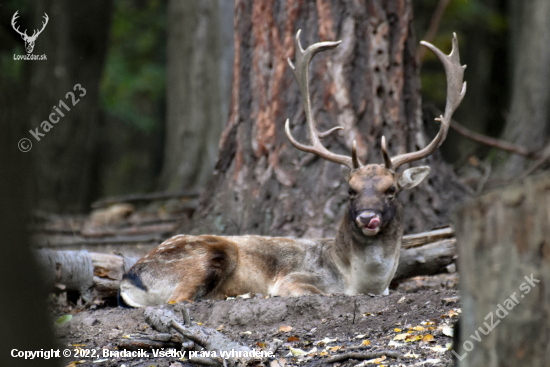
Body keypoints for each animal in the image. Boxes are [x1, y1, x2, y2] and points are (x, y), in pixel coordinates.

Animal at [119, 30, 466, 308]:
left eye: (391, 190)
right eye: (350, 191)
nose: (368, 217)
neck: (360, 281)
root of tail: (129, 277)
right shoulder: (294, 278)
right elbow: (318, 293)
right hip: (209, 254)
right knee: (180, 299)